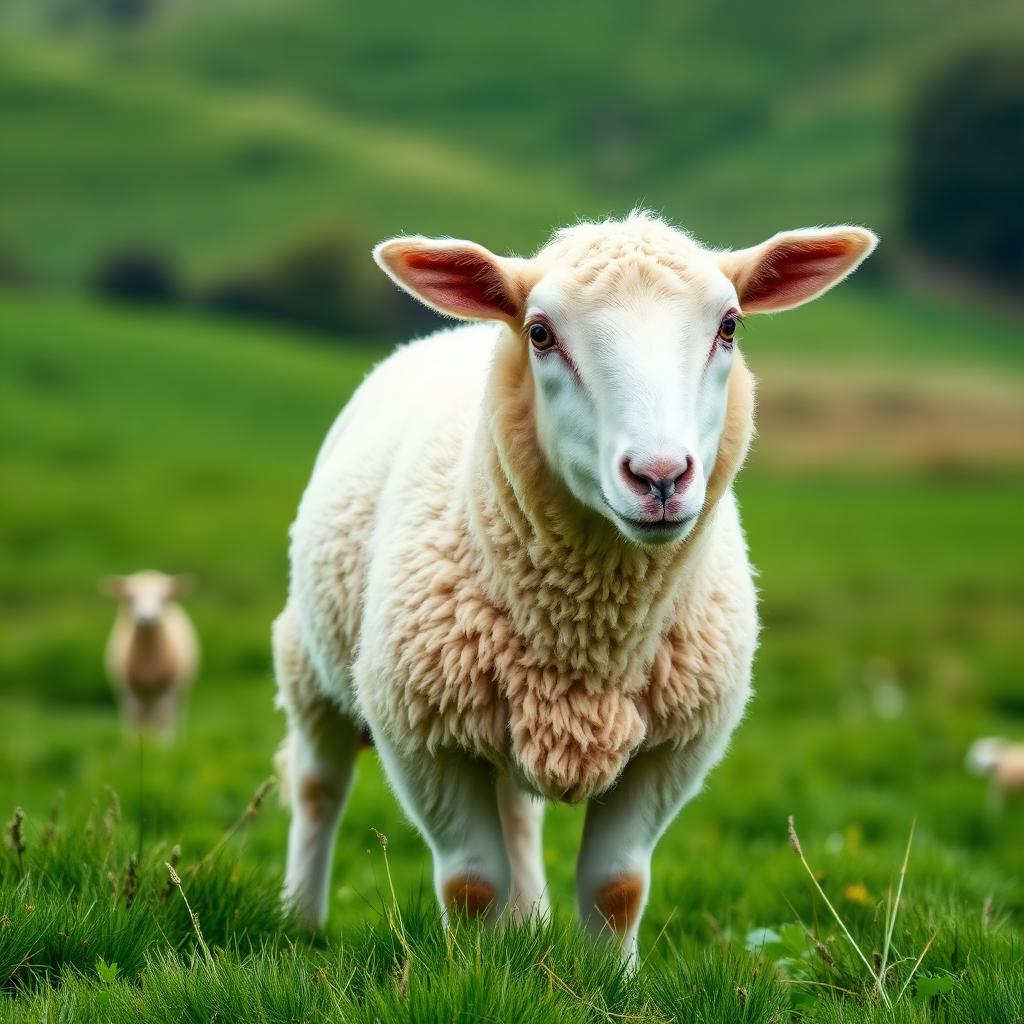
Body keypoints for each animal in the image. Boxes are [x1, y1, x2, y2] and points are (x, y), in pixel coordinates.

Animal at [102, 571, 198, 738]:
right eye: (129, 597)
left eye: (165, 598)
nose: (147, 618)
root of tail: (149, 571)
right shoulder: (127, 692)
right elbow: (134, 720)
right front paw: (135, 744)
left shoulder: (168, 691)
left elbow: (164, 720)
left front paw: (165, 745)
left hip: (178, 693)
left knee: (171, 717)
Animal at [274, 211, 877, 959]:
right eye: (540, 333)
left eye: (730, 326)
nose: (659, 477)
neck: (589, 634)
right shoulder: (423, 736)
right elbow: (470, 885)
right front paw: (471, 971)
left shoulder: (672, 749)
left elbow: (617, 887)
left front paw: (607, 975)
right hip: (308, 658)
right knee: (317, 786)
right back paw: (301, 921)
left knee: (517, 815)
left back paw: (528, 922)